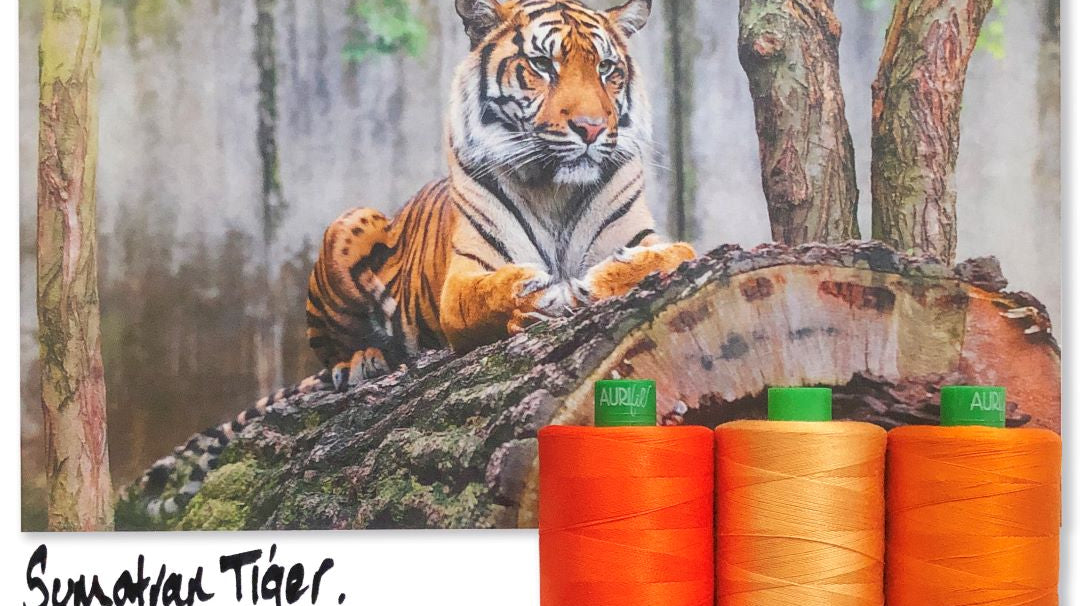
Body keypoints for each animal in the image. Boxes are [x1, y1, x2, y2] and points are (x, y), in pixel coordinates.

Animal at [130, 0, 695, 519]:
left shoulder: (648, 235)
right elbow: (494, 293)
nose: (592, 128)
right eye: (542, 64)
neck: (556, 189)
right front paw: (538, 298)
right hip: (350, 222)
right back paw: (364, 362)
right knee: (331, 351)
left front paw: (597, 282)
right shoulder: (464, 279)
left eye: (607, 69)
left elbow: (676, 253)